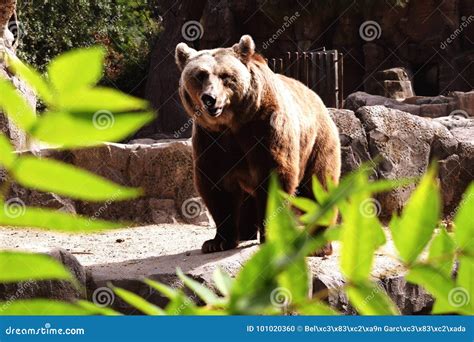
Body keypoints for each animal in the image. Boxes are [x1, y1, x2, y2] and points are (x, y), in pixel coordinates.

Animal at [176, 35, 338, 254]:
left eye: (225, 76)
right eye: (200, 75)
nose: (210, 98)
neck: (231, 123)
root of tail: (317, 98)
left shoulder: (264, 126)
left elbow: (274, 176)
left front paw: (271, 235)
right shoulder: (210, 138)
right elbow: (216, 185)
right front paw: (217, 241)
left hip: (317, 142)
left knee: (319, 187)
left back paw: (318, 244)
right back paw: (245, 232)